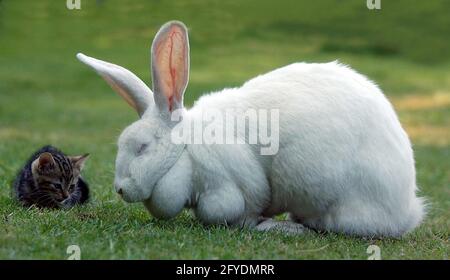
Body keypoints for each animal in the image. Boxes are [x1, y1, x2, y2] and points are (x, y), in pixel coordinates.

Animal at [77, 20, 426, 237]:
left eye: (142, 147)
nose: (120, 189)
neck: (185, 150)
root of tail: (407, 209)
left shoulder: (226, 187)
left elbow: (232, 213)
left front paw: (259, 225)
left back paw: (289, 227)